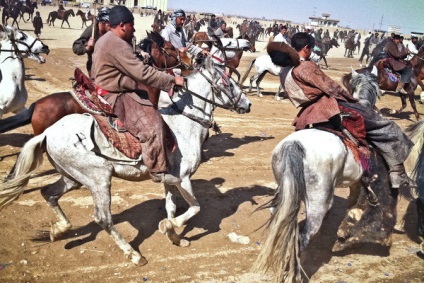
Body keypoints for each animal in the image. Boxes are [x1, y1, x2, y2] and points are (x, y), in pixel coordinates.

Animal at [0, 57, 252, 266]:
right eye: (229, 84)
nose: (247, 105)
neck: (183, 124)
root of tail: (46, 134)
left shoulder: (170, 179)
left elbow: (170, 208)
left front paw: (174, 236)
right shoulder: (183, 178)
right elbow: (195, 207)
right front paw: (172, 227)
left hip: (71, 177)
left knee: (49, 194)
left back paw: (60, 230)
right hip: (99, 180)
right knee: (103, 219)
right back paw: (134, 254)